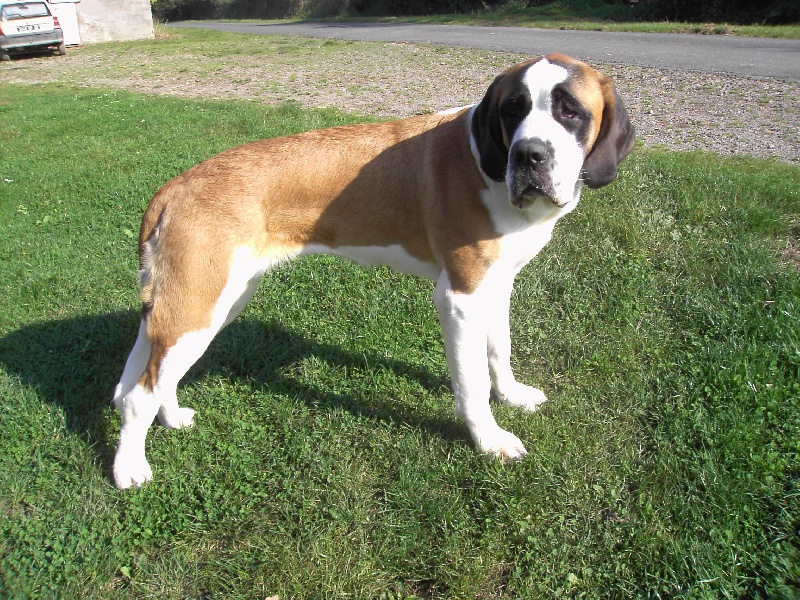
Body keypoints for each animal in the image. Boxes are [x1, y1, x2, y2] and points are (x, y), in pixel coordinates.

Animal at [112, 53, 635, 489]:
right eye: (513, 110)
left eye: (570, 112)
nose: (529, 155)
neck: (486, 163)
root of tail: (174, 188)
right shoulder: (460, 299)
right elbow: (471, 384)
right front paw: (489, 440)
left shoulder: (497, 284)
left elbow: (498, 350)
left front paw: (512, 395)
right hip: (198, 307)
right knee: (137, 394)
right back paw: (129, 468)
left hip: (211, 301)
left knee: (149, 377)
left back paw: (170, 417)